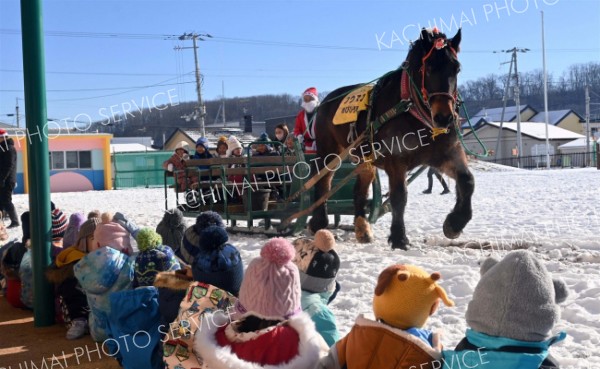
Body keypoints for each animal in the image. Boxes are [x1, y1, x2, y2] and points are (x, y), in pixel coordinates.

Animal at [310, 27, 474, 249]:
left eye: (456, 68)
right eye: (429, 68)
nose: (444, 117)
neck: (413, 113)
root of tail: (326, 100)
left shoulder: (446, 154)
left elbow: (467, 180)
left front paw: (455, 223)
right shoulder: (396, 161)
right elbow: (399, 197)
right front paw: (399, 237)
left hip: (365, 160)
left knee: (359, 191)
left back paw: (362, 229)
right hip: (329, 152)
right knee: (323, 182)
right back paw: (319, 223)